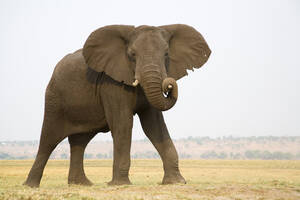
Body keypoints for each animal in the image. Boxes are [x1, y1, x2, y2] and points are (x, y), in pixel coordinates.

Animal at [23, 23, 211, 188]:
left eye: (166, 54)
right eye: (132, 55)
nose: (169, 85)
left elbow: (153, 126)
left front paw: (176, 182)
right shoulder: (111, 84)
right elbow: (123, 124)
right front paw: (121, 184)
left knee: (80, 141)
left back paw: (82, 184)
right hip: (54, 99)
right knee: (48, 140)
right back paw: (31, 186)